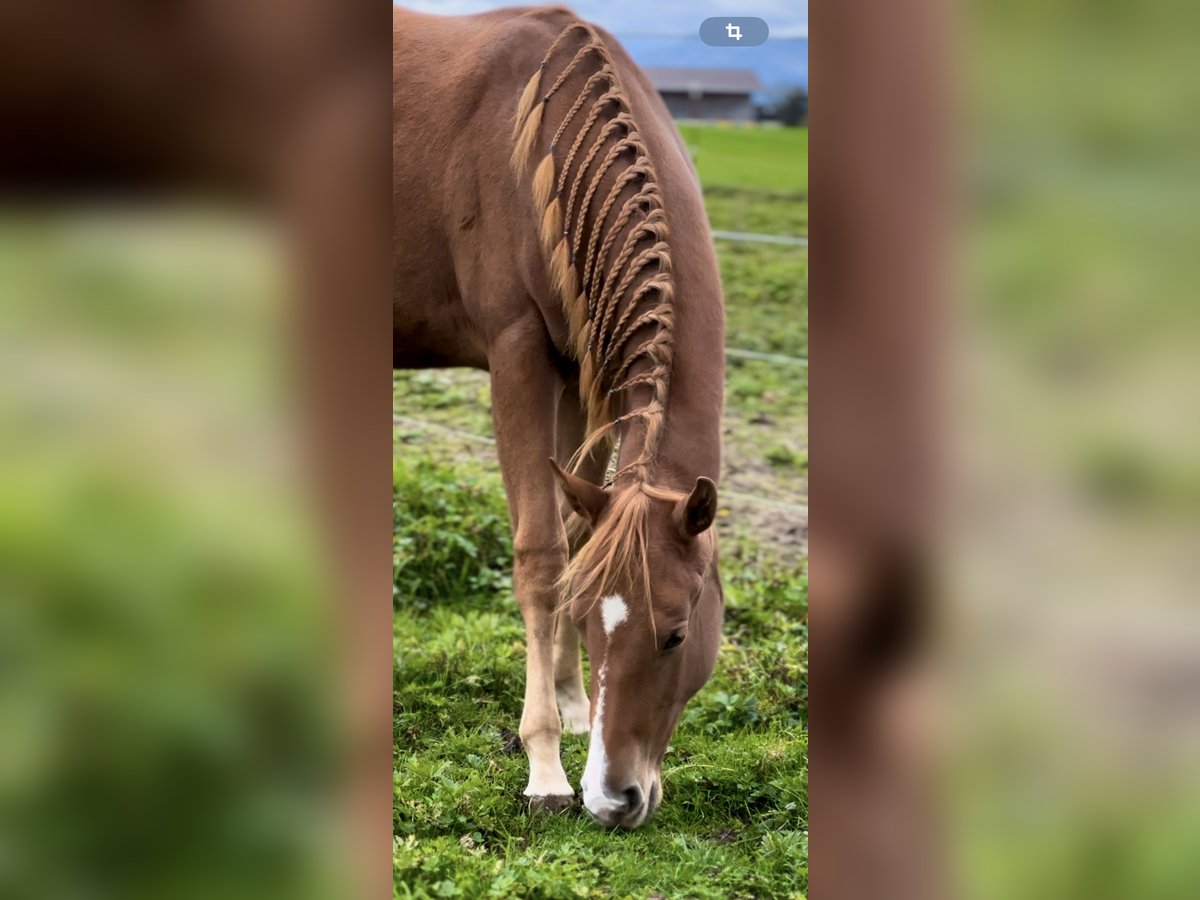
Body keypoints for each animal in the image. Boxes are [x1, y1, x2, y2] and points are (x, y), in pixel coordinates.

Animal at [393, 5, 720, 830]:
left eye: (676, 633)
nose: (613, 796)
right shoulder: (518, 352)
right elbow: (541, 555)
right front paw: (545, 765)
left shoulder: (581, 374)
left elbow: (577, 537)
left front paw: (573, 706)